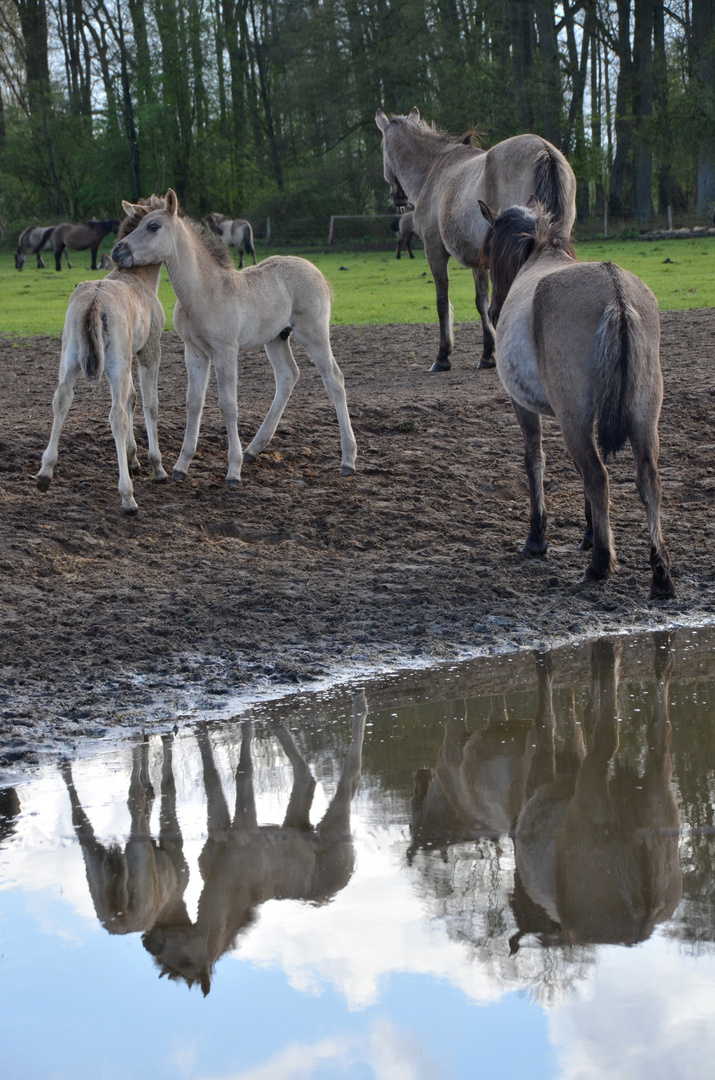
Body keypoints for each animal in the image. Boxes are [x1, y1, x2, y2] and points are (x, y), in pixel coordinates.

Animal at [36, 199, 168, 514]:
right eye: (153, 223)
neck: (136, 279)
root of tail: (94, 302)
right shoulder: (147, 353)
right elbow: (148, 404)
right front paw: (155, 467)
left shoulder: (126, 361)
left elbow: (132, 398)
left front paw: (132, 458)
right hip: (116, 365)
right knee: (116, 416)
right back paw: (127, 496)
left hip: (71, 360)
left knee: (61, 400)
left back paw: (45, 472)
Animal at [375, 108, 578, 371]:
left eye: (382, 148)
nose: (396, 197)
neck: (435, 169)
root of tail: (545, 150)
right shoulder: (481, 260)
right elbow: (482, 302)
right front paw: (487, 354)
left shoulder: (434, 250)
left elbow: (442, 301)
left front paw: (443, 356)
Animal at [479, 196, 673, 600]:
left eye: (489, 250)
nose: (493, 312)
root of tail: (615, 291)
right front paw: (590, 533)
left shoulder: (526, 407)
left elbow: (535, 460)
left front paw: (537, 537)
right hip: (643, 416)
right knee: (648, 480)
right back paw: (660, 573)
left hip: (574, 419)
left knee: (598, 475)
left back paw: (599, 566)